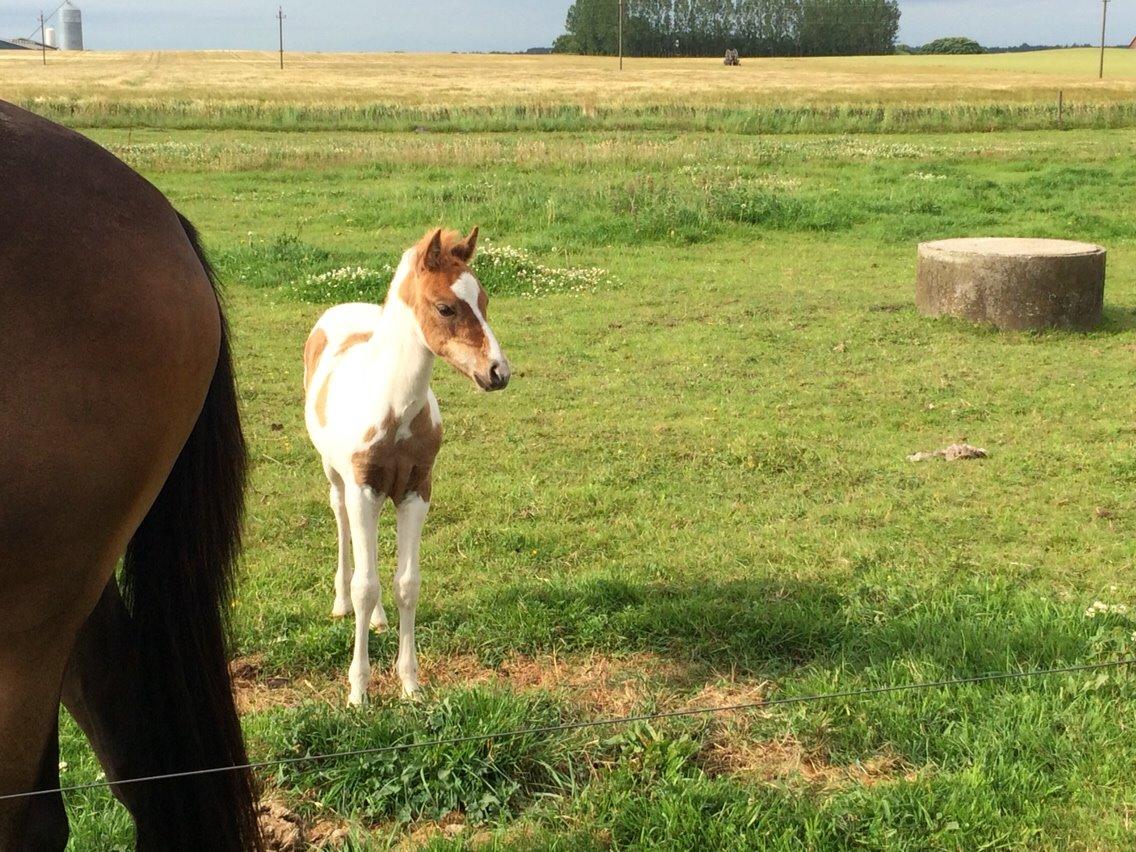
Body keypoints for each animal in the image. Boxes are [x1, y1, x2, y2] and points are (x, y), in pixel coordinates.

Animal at [306, 228, 511, 708]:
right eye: (446, 307)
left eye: (485, 300)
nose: (498, 372)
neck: (394, 406)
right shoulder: (363, 487)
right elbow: (366, 585)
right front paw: (358, 692)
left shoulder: (417, 491)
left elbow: (406, 584)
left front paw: (411, 684)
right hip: (337, 477)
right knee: (341, 520)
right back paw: (340, 603)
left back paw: (379, 620)